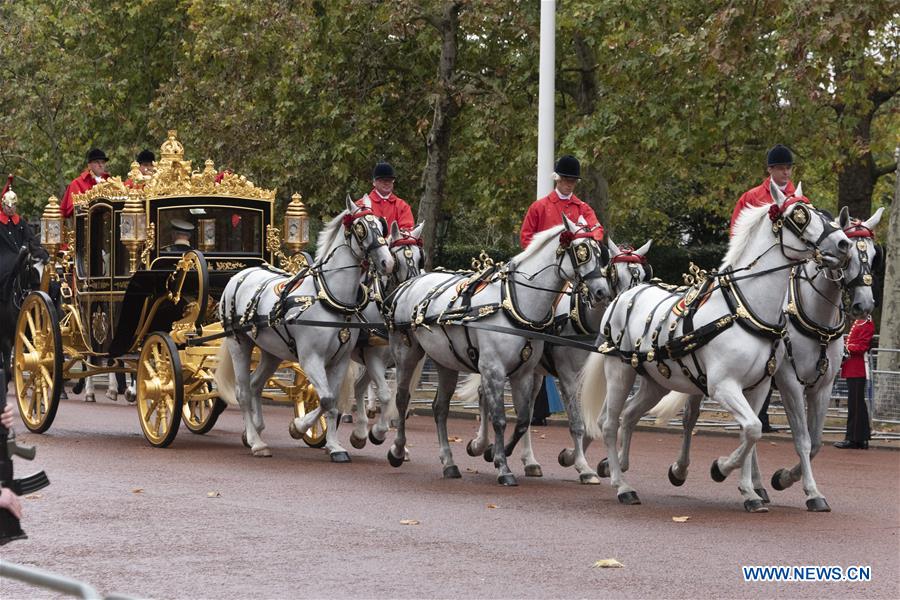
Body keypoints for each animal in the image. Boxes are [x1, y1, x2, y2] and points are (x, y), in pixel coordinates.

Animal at [214, 198, 394, 460]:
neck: (330, 298)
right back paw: (257, 442)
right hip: (239, 344)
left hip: (271, 352)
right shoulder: (311, 359)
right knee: (243, 392)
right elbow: (327, 399)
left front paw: (335, 446)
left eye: (382, 226)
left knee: (256, 385)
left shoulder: (340, 361)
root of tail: (242, 273)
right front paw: (298, 427)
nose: (387, 262)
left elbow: (331, 402)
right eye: (361, 228)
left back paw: (254, 431)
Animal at [384, 218, 608, 486]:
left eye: (601, 253)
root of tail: (408, 284)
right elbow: (500, 418)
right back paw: (398, 451)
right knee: (402, 398)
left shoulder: (523, 373)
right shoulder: (496, 370)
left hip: (446, 361)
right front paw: (503, 467)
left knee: (440, 408)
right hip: (406, 355)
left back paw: (450, 463)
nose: (602, 292)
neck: (516, 304)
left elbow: (523, 419)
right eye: (581, 252)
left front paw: (496, 454)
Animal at [460, 237, 652, 486]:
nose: (629, 307)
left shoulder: (605, 378)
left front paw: (574, 458)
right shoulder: (569, 376)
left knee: (526, 410)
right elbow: (577, 422)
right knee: (488, 395)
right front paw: (583, 467)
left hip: (532, 373)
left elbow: (598, 420)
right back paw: (481, 445)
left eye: (645, 275)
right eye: (614, 274)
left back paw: (527, 460)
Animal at [584, 183, 852, 510]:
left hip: (656, 381)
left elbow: (753, 432)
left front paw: (749, 491)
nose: (843, 243)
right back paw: (622, 486)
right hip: (620, 372)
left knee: (630, 415)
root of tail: (623, 296)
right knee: (609, 422)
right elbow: (755, 430)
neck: (745, 310)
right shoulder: (725, 385)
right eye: (799, 216)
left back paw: (619, 467)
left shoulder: (761, 387)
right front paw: (722, 468)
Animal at [652, 206, 884, 510]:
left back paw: (756, 486)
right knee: (691, 419)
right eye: (849, 256)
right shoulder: (789, 382)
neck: (815, 317)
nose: (864, 305)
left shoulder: (823, 386)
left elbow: (816, 441)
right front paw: (809, 491)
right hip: (701, 378)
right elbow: (802, 439)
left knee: (750, 428)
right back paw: (681, 470)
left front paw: (784, 478)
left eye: (875, 255)